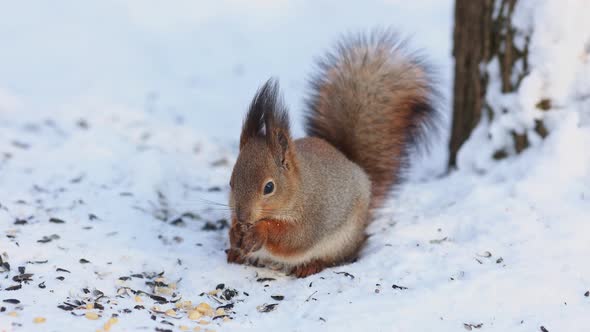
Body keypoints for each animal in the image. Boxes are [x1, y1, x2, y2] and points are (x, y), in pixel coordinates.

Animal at [225, 29, 440, 276]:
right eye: (231, 183)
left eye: (269, 187)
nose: (243, 216)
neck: (299, 188)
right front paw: (235, 232)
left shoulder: (313, 217)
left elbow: (293, 238)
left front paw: (259, 232)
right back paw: (235, 254)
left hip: (342, 240)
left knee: (334, 257)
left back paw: (311, 265)